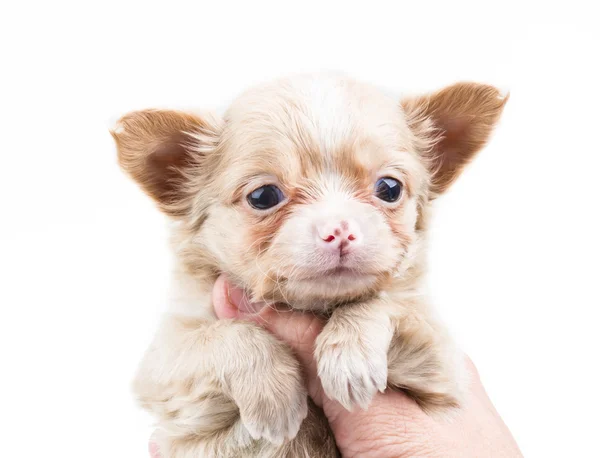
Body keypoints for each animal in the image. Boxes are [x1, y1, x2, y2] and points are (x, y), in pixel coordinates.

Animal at [112, 73, 506, 456]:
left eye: (389, 188)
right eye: (263, 196)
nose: (340, 230)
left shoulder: (442, 369)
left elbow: (386, 304)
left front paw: (349, 355)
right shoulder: (164, 359)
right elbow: (224, 334)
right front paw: (274, 393)